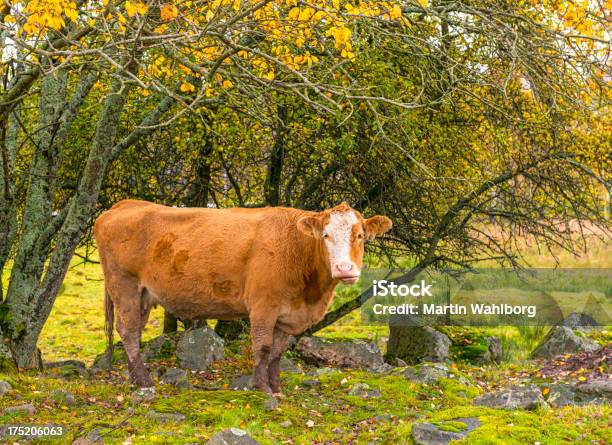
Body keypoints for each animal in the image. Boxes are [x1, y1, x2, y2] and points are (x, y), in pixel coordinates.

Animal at [95, 200, 392, 392]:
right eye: (326, 235)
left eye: (360, 235)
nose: (344, 269)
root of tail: (123, 204)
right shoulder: (263, 305)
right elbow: (263, 347)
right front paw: (261, 387)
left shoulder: (287, 314)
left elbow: (278, 352)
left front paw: (275, 386)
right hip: (124, 287)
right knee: (128, 331)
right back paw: (144, 381)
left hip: (142, 295)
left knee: (133, 331)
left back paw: (135, 378)